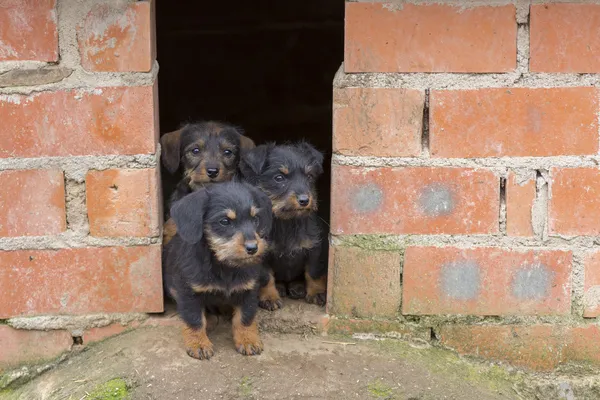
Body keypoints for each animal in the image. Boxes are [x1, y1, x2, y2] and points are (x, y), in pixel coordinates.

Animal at [164, 181, 276, 360]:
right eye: (224, 221)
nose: (253, 248)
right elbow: (194, 319)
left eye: (255, 219)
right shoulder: (188, 292)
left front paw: (248, 340)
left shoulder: (249, 290)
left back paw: (271, 297)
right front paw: (199, 344)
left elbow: (245, 317)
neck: (224, 266)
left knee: (269, 276)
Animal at [239, 142, 328, 308]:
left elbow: (313, 272)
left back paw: (297, 287)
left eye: (309, 176)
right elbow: (266, 277)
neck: (286, 222)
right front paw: (269, 297)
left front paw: (317, 292)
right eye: (279, 178)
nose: (305, 200)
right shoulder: (261, 254)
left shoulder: (315, 248)